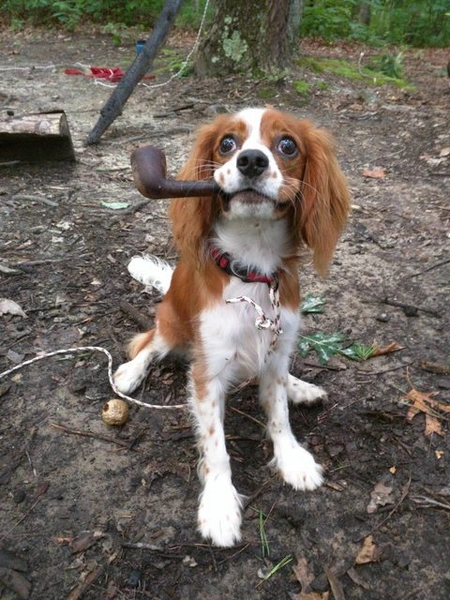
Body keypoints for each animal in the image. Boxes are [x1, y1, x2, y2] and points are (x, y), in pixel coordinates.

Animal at [113, 108, 352, 548]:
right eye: (227, 143)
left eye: (287, 144)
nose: (252, 161)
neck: (251, 269)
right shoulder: (207, 373)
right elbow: (216, 447)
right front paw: (220, 504)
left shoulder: (276, 346)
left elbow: (278, 414)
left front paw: (291, 457)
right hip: (173, 322)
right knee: (150, 341)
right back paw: (131, 372)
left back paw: (300, 387)